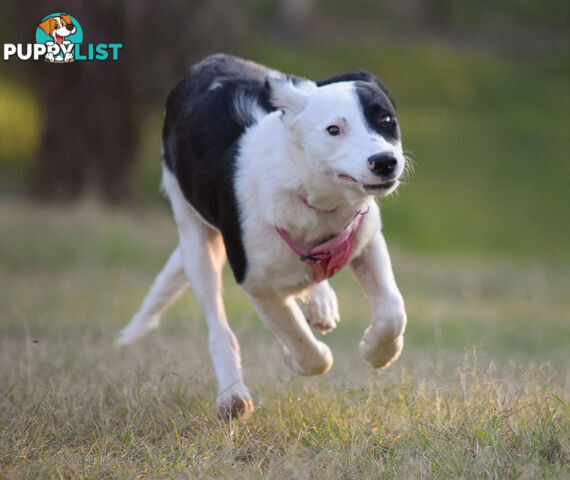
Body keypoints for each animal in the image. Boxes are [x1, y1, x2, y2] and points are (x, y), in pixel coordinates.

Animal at [117, 53, 406, 420]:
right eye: (333, 130)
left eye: (385, 119)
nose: (385, 162)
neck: (311, 194)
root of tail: (209, 62)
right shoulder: (257, 284)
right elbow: (301, 342)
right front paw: (295, 359)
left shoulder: (365, 239)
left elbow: (393, 311)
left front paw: (377, 352)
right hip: (193, 234)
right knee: (218, 326)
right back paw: (232, 397)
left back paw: (320, 302)